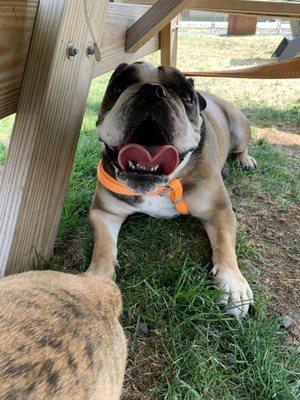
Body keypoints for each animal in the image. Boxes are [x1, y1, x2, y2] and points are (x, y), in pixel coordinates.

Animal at [89, 61, 258, 318]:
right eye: (118, 87)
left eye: (187, 97)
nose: (152, 91)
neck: (161, 185)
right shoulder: (104, 213)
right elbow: (103, 247)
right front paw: (94, 282)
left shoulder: (219, 211)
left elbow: (225, 245)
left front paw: (232, 284)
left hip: (239, 128)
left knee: (241, 147)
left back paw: (244, 160)